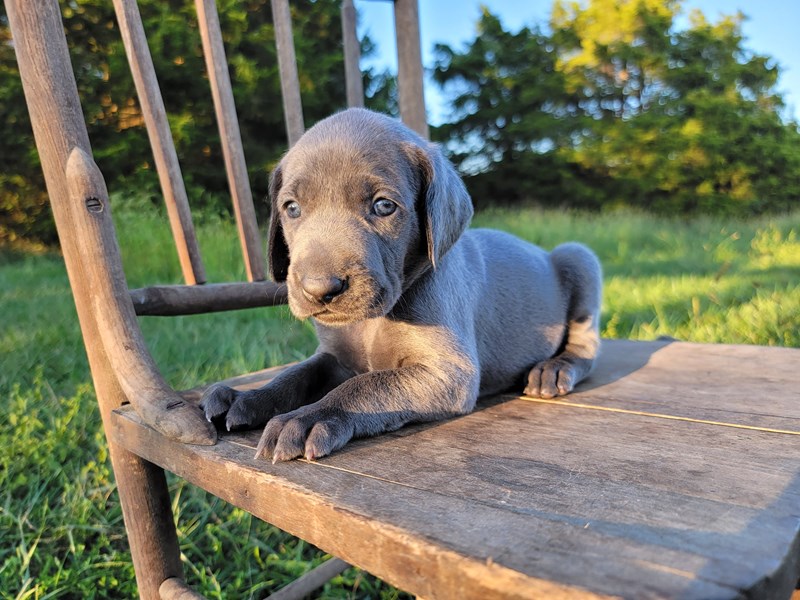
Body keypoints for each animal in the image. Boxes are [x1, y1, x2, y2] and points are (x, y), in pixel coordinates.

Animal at [203, 109, 604, 464]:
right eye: (291, 208)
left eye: (384, 206)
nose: (319, 289)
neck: (374, 320)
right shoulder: (333, 356)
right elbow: (294, 375)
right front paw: (247, 397)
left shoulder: (450, 374)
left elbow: (366, 385)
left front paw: (306, 419)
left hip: (580, 257)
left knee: (586, 346)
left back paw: (554, 370)